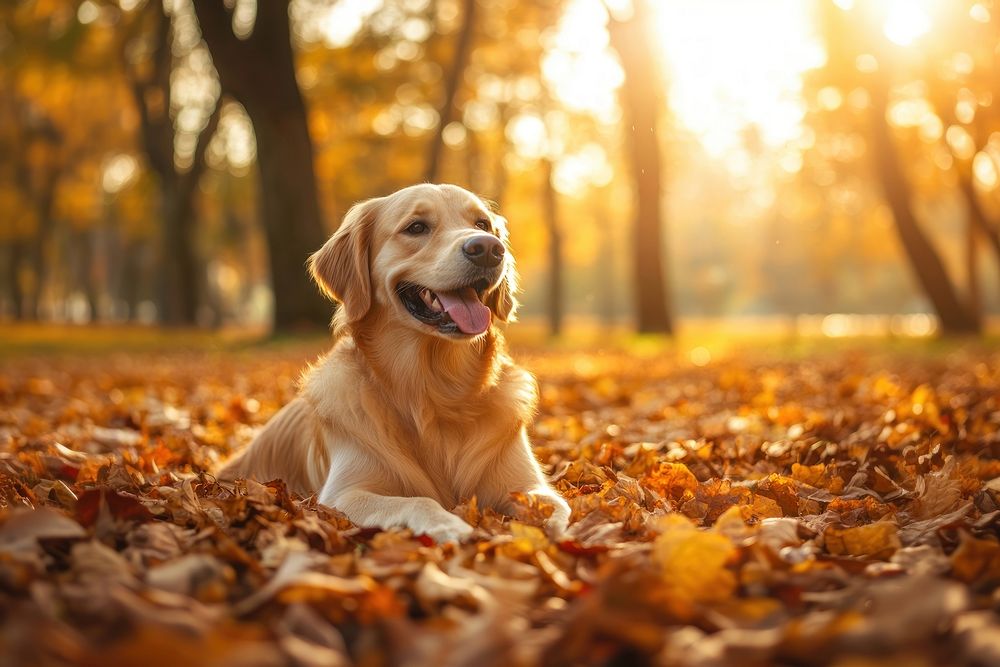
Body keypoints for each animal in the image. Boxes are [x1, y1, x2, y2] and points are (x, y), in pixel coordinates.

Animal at [221, 181, 572, 544]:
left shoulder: (527, 483)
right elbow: (418, 500)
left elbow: (556, 507)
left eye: (483, 225)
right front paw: (449, 524)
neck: (437, 389)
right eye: (416, 227)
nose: (488, 249)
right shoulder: (345, 493)